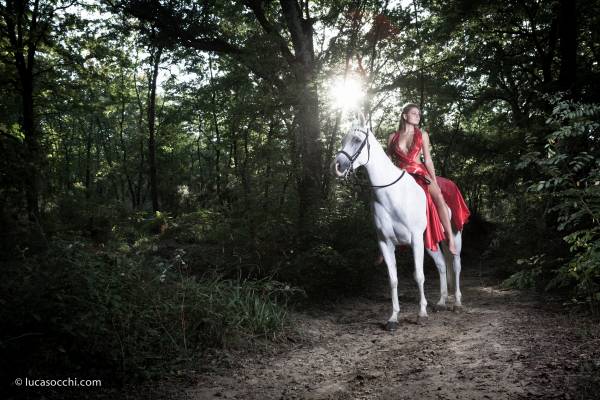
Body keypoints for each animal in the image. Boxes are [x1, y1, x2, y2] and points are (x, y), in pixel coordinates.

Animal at [328, 117, 464, 330]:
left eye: (357, 140)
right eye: (343, 140)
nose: (337, 166)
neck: (392, 195)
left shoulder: (415, 240)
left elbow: (419, 275)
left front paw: (421, 314)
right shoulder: (386, 242)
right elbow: (393, 280)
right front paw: (393, 317)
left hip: (454, 237)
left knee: (456, 265)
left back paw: (457, 303)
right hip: (430, 242)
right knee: (442, 265)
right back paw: (441, 302)